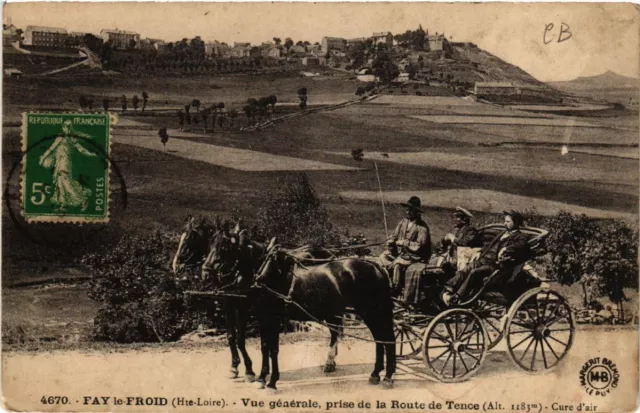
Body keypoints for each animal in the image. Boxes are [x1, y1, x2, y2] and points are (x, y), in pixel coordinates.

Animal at [254, 240, 396, 392]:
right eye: (267, 258)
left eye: (274, 259)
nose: (259, 281)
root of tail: (376, 266)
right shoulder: (263, 318)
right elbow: (264, 347)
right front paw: (261, 378)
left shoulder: (272, 319)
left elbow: (273, 349)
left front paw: (272, 382)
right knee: (379, 339)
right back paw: (375, 374)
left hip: (372, 311)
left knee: (387, 338)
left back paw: (388, 377)